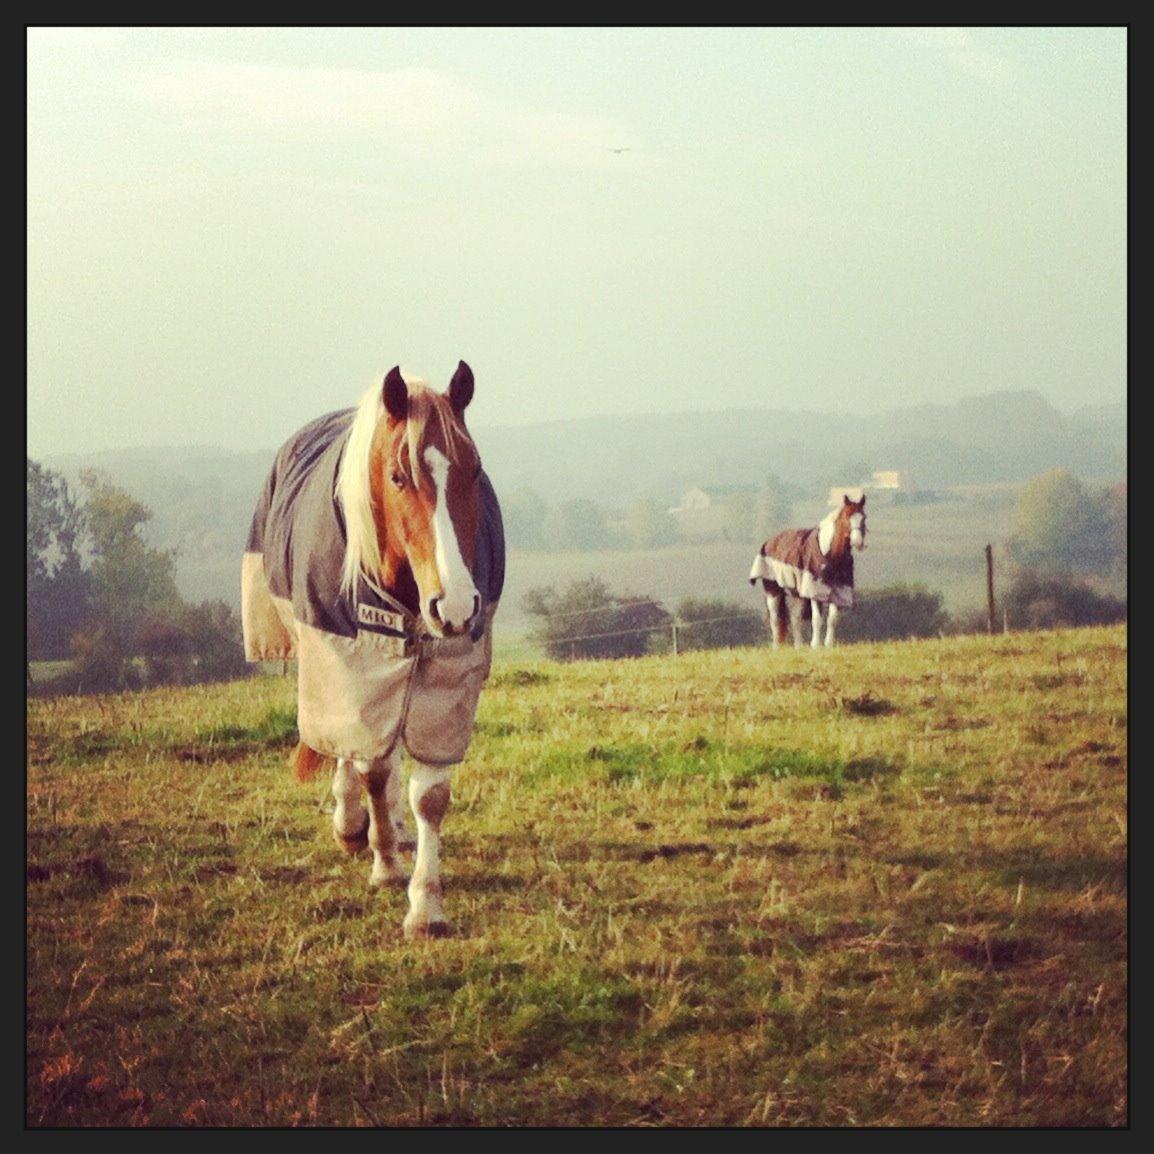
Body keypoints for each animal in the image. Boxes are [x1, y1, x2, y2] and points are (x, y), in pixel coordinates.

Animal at [242, 364, 505, 941]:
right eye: (399, 477)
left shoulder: (444, 677)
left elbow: (428, 793)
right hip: (327, 657)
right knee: (347, 744)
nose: (456, 605)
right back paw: (351, 822)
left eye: (475, 470)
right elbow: (372, 768)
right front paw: (383, 863)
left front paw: (425, 904)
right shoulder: (353, 656)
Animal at [747, 489, 867, 646]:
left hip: (797, 594)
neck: (830, 554)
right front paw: (815, 645)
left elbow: (832, 619)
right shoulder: (815, 590)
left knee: (795, 619)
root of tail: (769, 542)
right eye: (847, 517)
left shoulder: (839, 591)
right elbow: (817, 619)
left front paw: (828, 645)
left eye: (864, 518)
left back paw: (799, 646)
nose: (858, 542)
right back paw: (777, 646)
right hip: (773, 590)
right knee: (775, 619)